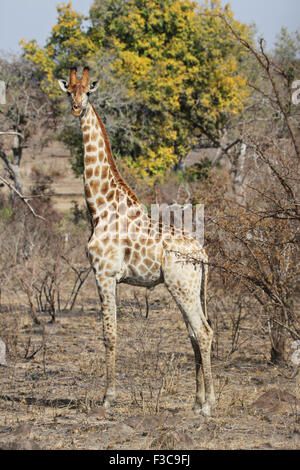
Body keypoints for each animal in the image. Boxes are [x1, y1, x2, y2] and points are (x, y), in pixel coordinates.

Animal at [57, 66, 214, 414]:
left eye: (88, 91)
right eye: (68, 90)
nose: (76, 108)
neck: (100, 206)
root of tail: (204, 255)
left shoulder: (104, 274)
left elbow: (110, 334)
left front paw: (108, 398)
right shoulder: (108, 277)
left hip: (182, 286)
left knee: (203, 332)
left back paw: (209, 406)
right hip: (189, 288)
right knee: (195, 333)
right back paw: (197, 401)